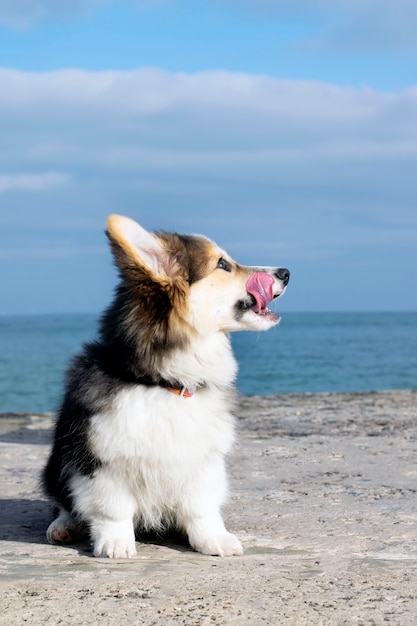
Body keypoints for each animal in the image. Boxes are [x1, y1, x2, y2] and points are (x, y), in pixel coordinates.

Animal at [43, 214, 290, 556]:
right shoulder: (101, 460)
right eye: (223, 264)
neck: (161, 382)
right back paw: (64, 526)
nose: (286, 273)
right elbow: (111, 510)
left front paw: (214, 540)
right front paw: (116, 544)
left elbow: (202, 509)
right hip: (56, 462)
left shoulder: (203, 462)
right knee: (62, 501)